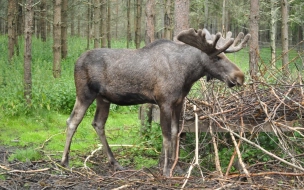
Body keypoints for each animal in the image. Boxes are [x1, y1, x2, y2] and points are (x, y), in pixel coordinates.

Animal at [60, 27, 251, 177]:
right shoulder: (164, 101)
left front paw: (177, 167)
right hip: (85, 94)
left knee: (98, 123)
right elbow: (166, 136)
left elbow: (176, 133)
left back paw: (115, 163)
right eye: (217, 57)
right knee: (72, 121)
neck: (187, 74)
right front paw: (166, 170)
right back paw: (65, 161)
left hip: (103, 98)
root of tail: (76, 61)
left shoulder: (178, 102)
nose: (239, 76)